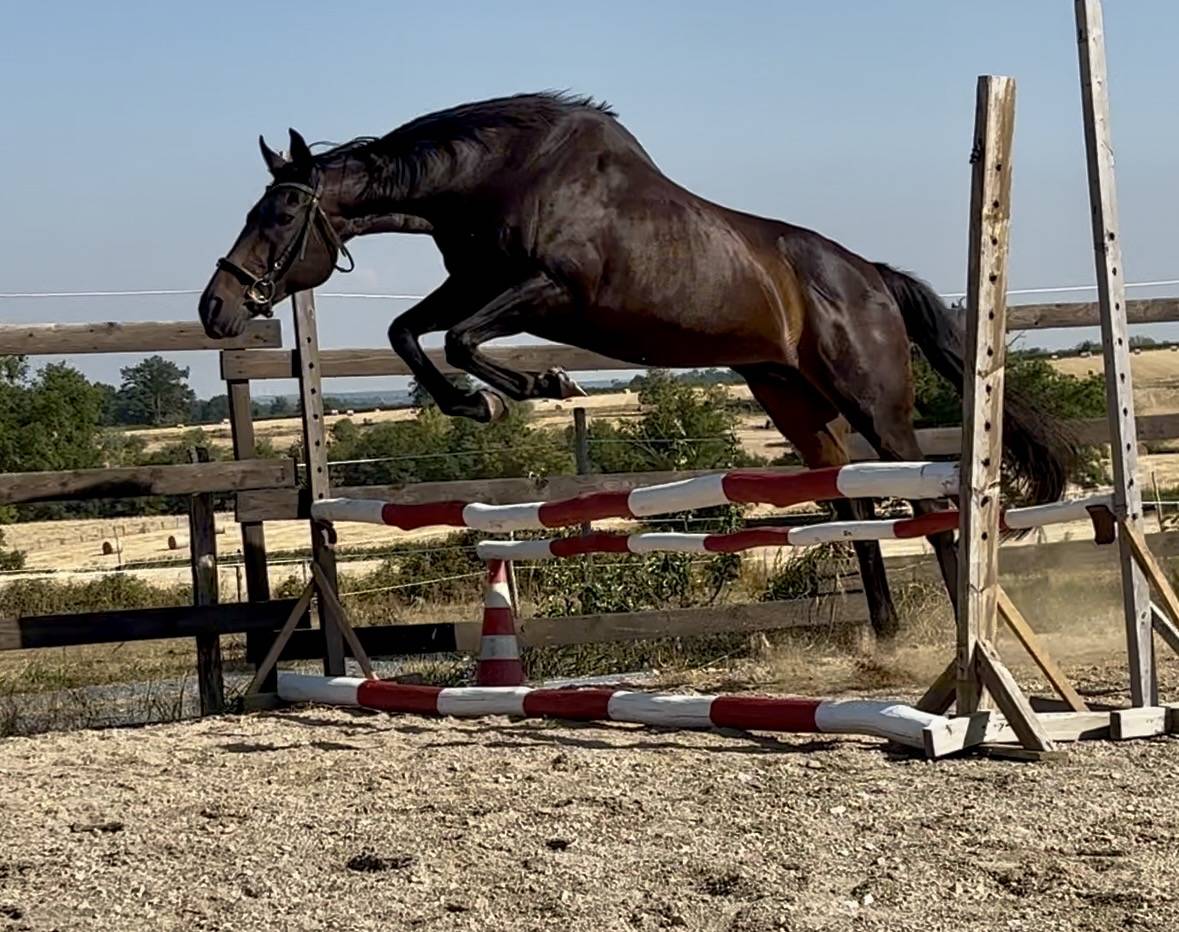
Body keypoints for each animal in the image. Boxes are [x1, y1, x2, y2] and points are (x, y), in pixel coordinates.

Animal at [198, 91, 1077, 639]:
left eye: (280, 212)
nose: (218, 308)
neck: (496, 179)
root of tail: (870, 276)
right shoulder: (474, 284)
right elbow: (408, 333)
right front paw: (482, 402)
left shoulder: (546, 291)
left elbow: (454, 340)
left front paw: (534, 386)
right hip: (791, 398)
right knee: (852, 503)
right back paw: (884, 635)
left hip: (871, 401)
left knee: (930, 503)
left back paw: (957, 629)